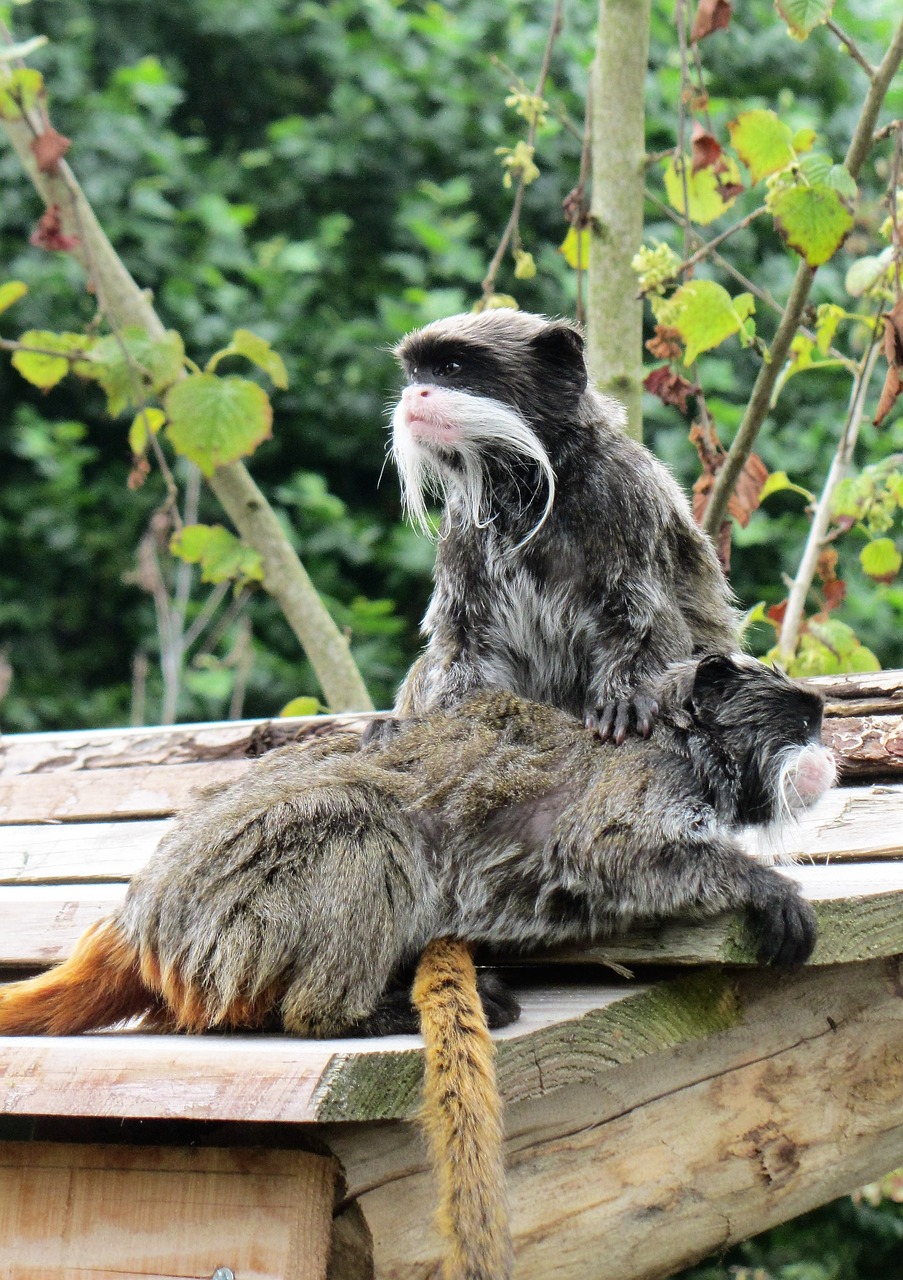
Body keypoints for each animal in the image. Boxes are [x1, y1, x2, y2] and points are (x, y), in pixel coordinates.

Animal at [386, 308, 737, 742]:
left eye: (450, 368)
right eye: (416, 374)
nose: (413, 395)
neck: (527, 490)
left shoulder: (626, 493)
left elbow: (647, 623)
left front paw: (624, 698)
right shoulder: (461, 523)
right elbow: (463, 646)